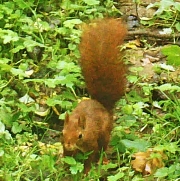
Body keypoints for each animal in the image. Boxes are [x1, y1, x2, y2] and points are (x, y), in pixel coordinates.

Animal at [62, 17, 127, 173]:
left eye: (80, 135)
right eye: (62, 132)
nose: (68, 144)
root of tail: (103, 105)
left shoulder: (91, 145)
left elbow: (89, 159)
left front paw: (86, 172)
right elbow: (67, 157)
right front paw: (64, 167)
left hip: (104, 134)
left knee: (103, 147)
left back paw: (103, 160)